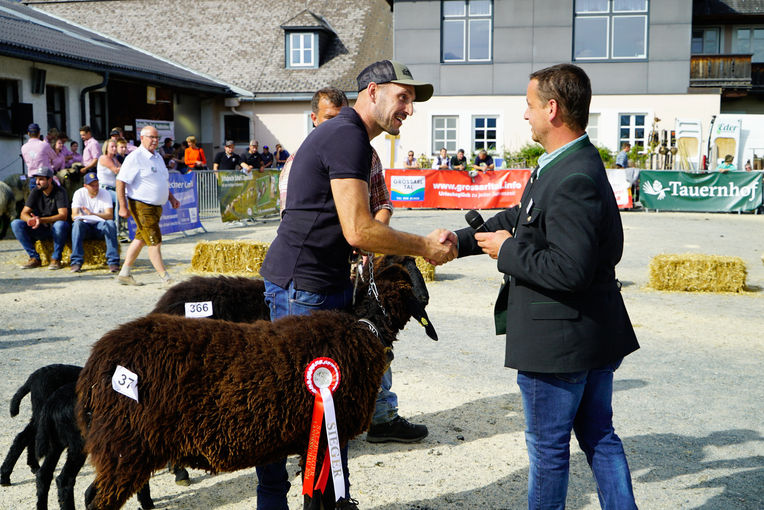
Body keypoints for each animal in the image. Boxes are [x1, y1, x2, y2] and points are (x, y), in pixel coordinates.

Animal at [79, 258, 436, 510]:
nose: (426, 294)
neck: (364, 328)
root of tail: (97, 360)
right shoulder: (322, 435)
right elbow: (317, 499)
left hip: (133, 444)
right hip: (126, 443)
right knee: (95, 499)